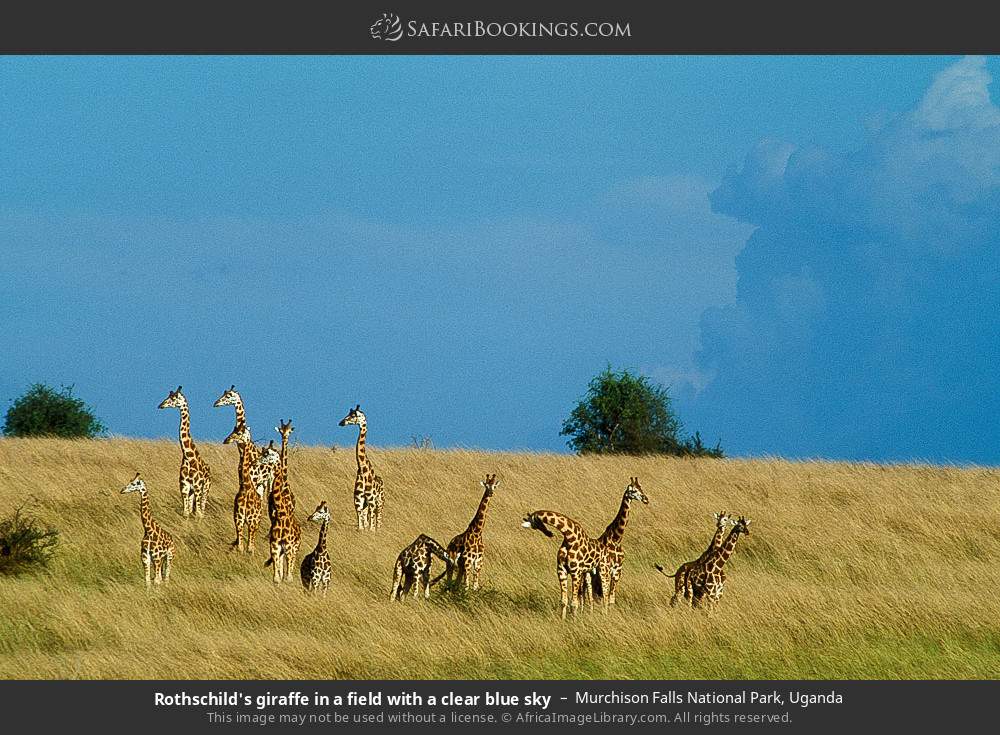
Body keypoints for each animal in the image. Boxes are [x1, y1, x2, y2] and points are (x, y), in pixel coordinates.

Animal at [158, 386, 211, 518]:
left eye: (173, 398)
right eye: (168, 396)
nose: (160, 405)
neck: (188, 456)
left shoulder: (197, 486)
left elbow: (198, 514)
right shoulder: (184, 487)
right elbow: (186, 513)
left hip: (205, 488)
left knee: (202, 509)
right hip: (192, 491)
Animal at [224, 426, 278, 554]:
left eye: (239, 432)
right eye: (233, 430)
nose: (226, 440)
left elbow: (248, 547)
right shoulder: (239, 520)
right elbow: (242, 547)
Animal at [588, 477, 649, 606]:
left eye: (641, 487)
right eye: (633, 491)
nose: (646, 499)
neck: (616, 539)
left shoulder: (617, 570)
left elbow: (612, 598)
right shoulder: (606, 570)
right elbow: (607, 597)